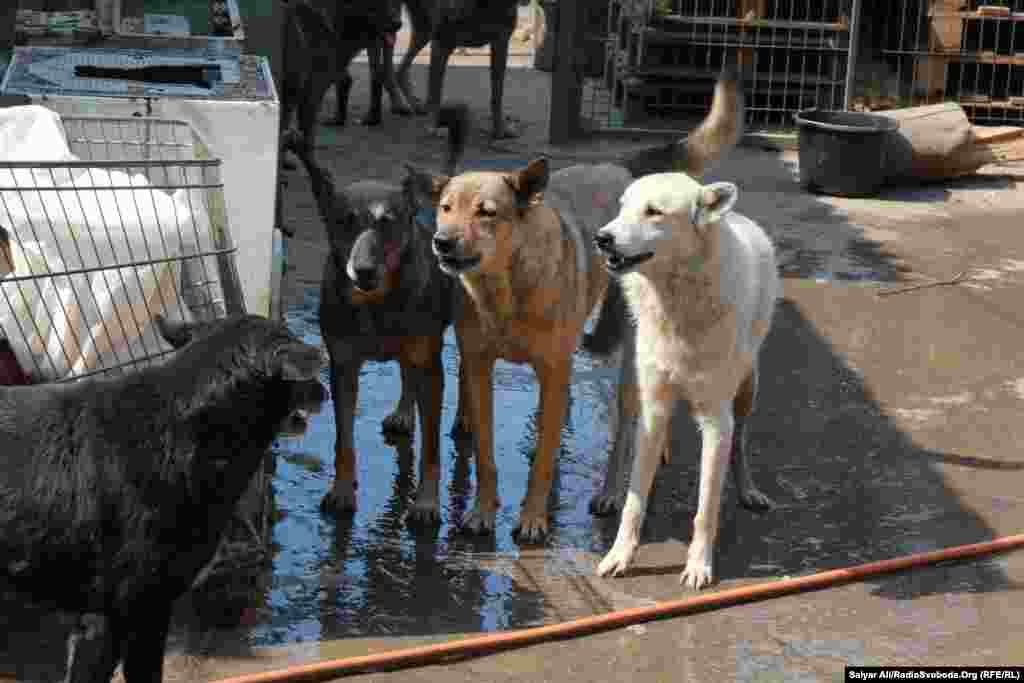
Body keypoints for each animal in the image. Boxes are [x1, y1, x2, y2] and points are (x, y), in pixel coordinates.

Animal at [284, 102, 468, 524]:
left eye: (388, 223)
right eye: (344, 222)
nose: (363, 271)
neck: (376, 302)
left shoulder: (432, 366)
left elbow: (431, 449)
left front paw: (426, 502)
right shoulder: (343, 367)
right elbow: (343, 439)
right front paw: (341, 491)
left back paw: (463, 422)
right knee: (406, 374)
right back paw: (403, 413)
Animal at [403, 68, 749, 544]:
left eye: (487, 212)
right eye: (445, 208)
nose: (442, 242)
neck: (508, 289)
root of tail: (622, 167)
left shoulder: (552, 371)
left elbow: (545, 461)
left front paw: (533, 518)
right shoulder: (480, 366)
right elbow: (487, 455)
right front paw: (482, 512)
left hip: (630, 361)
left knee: (627, 426)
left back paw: (612, 491)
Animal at [593, 174, 774, 589]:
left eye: (653, 211)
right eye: (623, 207)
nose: (602, 237)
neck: (678, 301)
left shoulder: (717, 422)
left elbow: (706, 508)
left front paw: (698, 566)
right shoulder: (653, 408)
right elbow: (634, 500)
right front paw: (619, 556)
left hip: (749, 389)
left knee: (740, 442)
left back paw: (748, 489)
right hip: (632, 387)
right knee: (621, 440)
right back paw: (609, 491)